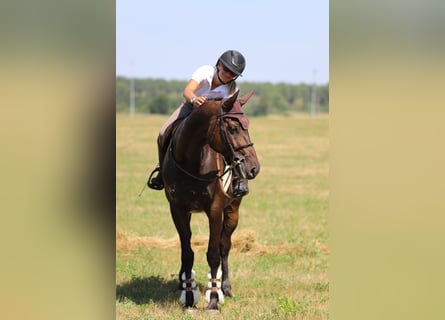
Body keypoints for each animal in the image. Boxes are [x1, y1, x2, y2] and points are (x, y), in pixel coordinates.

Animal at [159, 89, 258, 310]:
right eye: (233, 128)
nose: (254, 168)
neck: (191, 159)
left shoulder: (215, 210)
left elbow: (214, 253)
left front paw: (213, 301)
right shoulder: (177, 209)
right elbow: (187, 252)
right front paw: (188, 297)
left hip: (232, 212)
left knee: (225, 246)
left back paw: (226, 288)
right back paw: (183, 282)